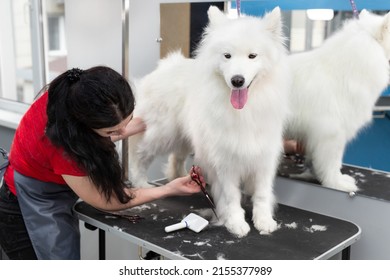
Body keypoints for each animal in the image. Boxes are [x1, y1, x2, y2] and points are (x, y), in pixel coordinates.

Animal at [128, 6, 290, 236]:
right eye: (227, 56)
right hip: (161, 133)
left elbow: (262, 194)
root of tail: (165, 65)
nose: (237, 80)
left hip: (187, 137)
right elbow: (231, 197)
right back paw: (142, 183)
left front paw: (264, 221)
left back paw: (180, 177)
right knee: (139, 155)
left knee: (176, 158)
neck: (244, 111)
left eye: (252, 56)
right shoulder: (225, 160)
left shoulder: (263, 157)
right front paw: (235, 223)